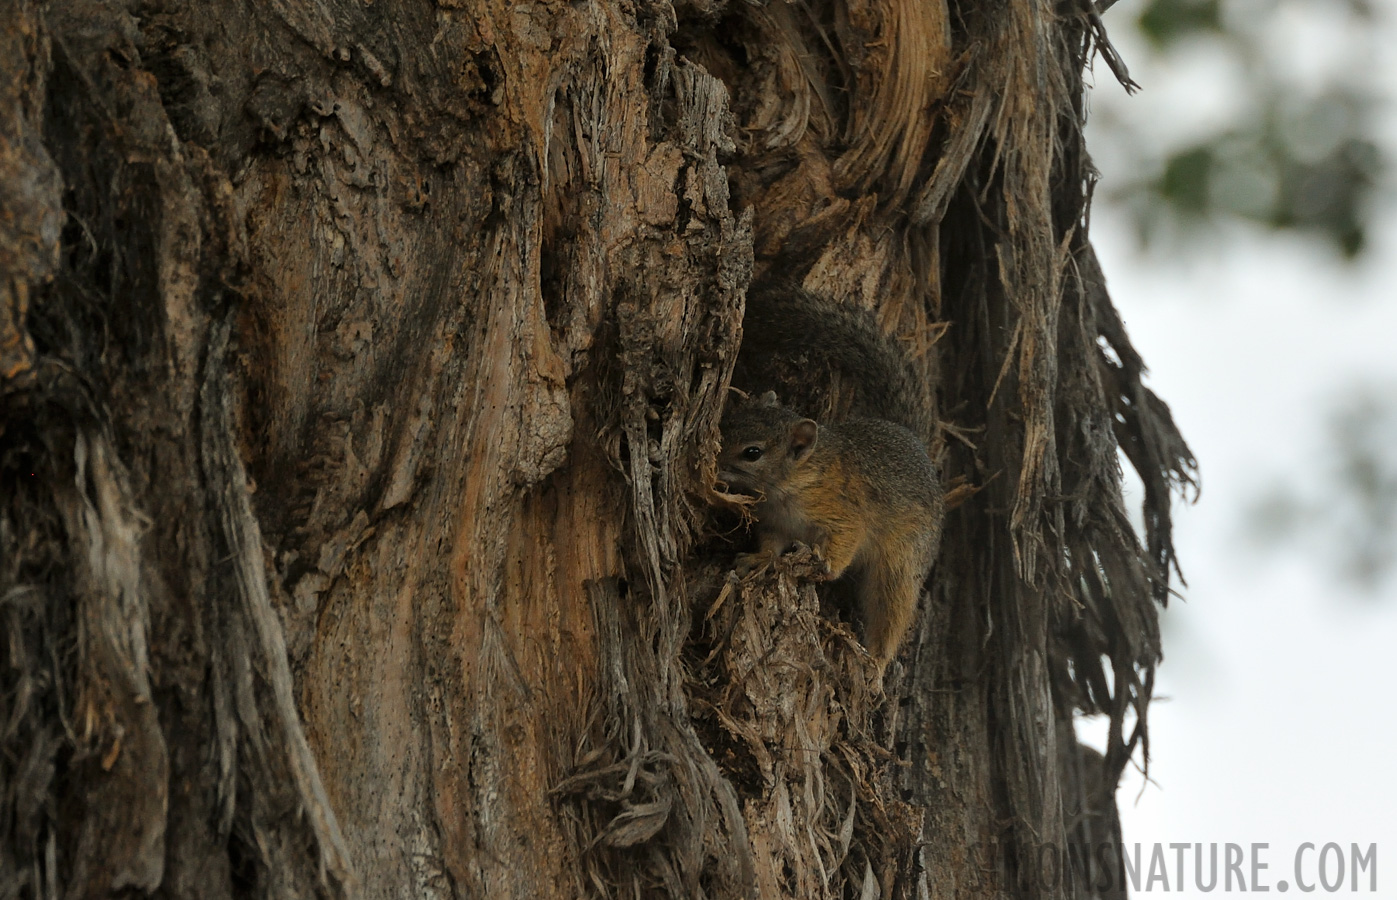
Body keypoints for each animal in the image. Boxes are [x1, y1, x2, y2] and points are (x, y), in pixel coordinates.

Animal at [720, 286, 938, 676]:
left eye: (752, 453)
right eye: (729, 421)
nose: (715, 461)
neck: (788, 488)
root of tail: (918, 448)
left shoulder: (844, 514)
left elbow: (843, 544)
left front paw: (823, 568)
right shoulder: (775, 523)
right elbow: (771, 545)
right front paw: (759, 559)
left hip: (903, 561)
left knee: (891, 611)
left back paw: (877, 661)